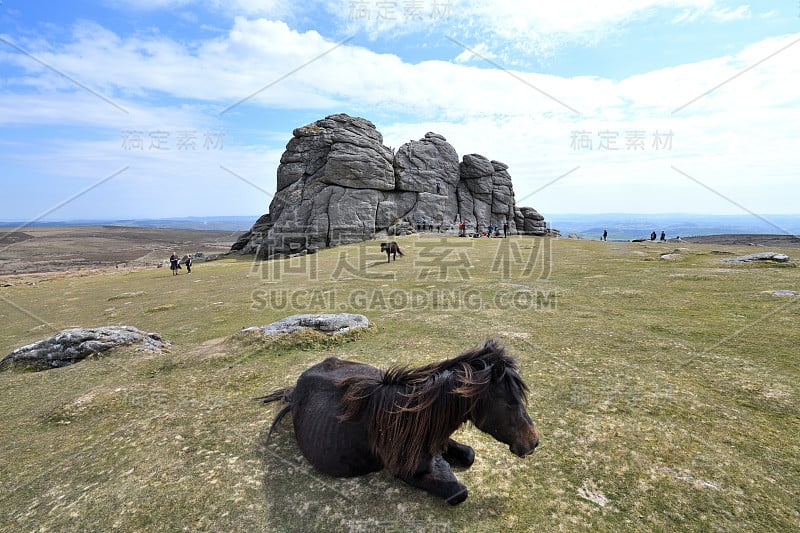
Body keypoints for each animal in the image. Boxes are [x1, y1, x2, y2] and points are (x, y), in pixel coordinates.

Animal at [260, 338, 540, 500]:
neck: (407, 418)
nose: (534, 442)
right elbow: (458, 492)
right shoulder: (403, 471)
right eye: (510, 402)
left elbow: (469, 454)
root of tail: (297, 386)